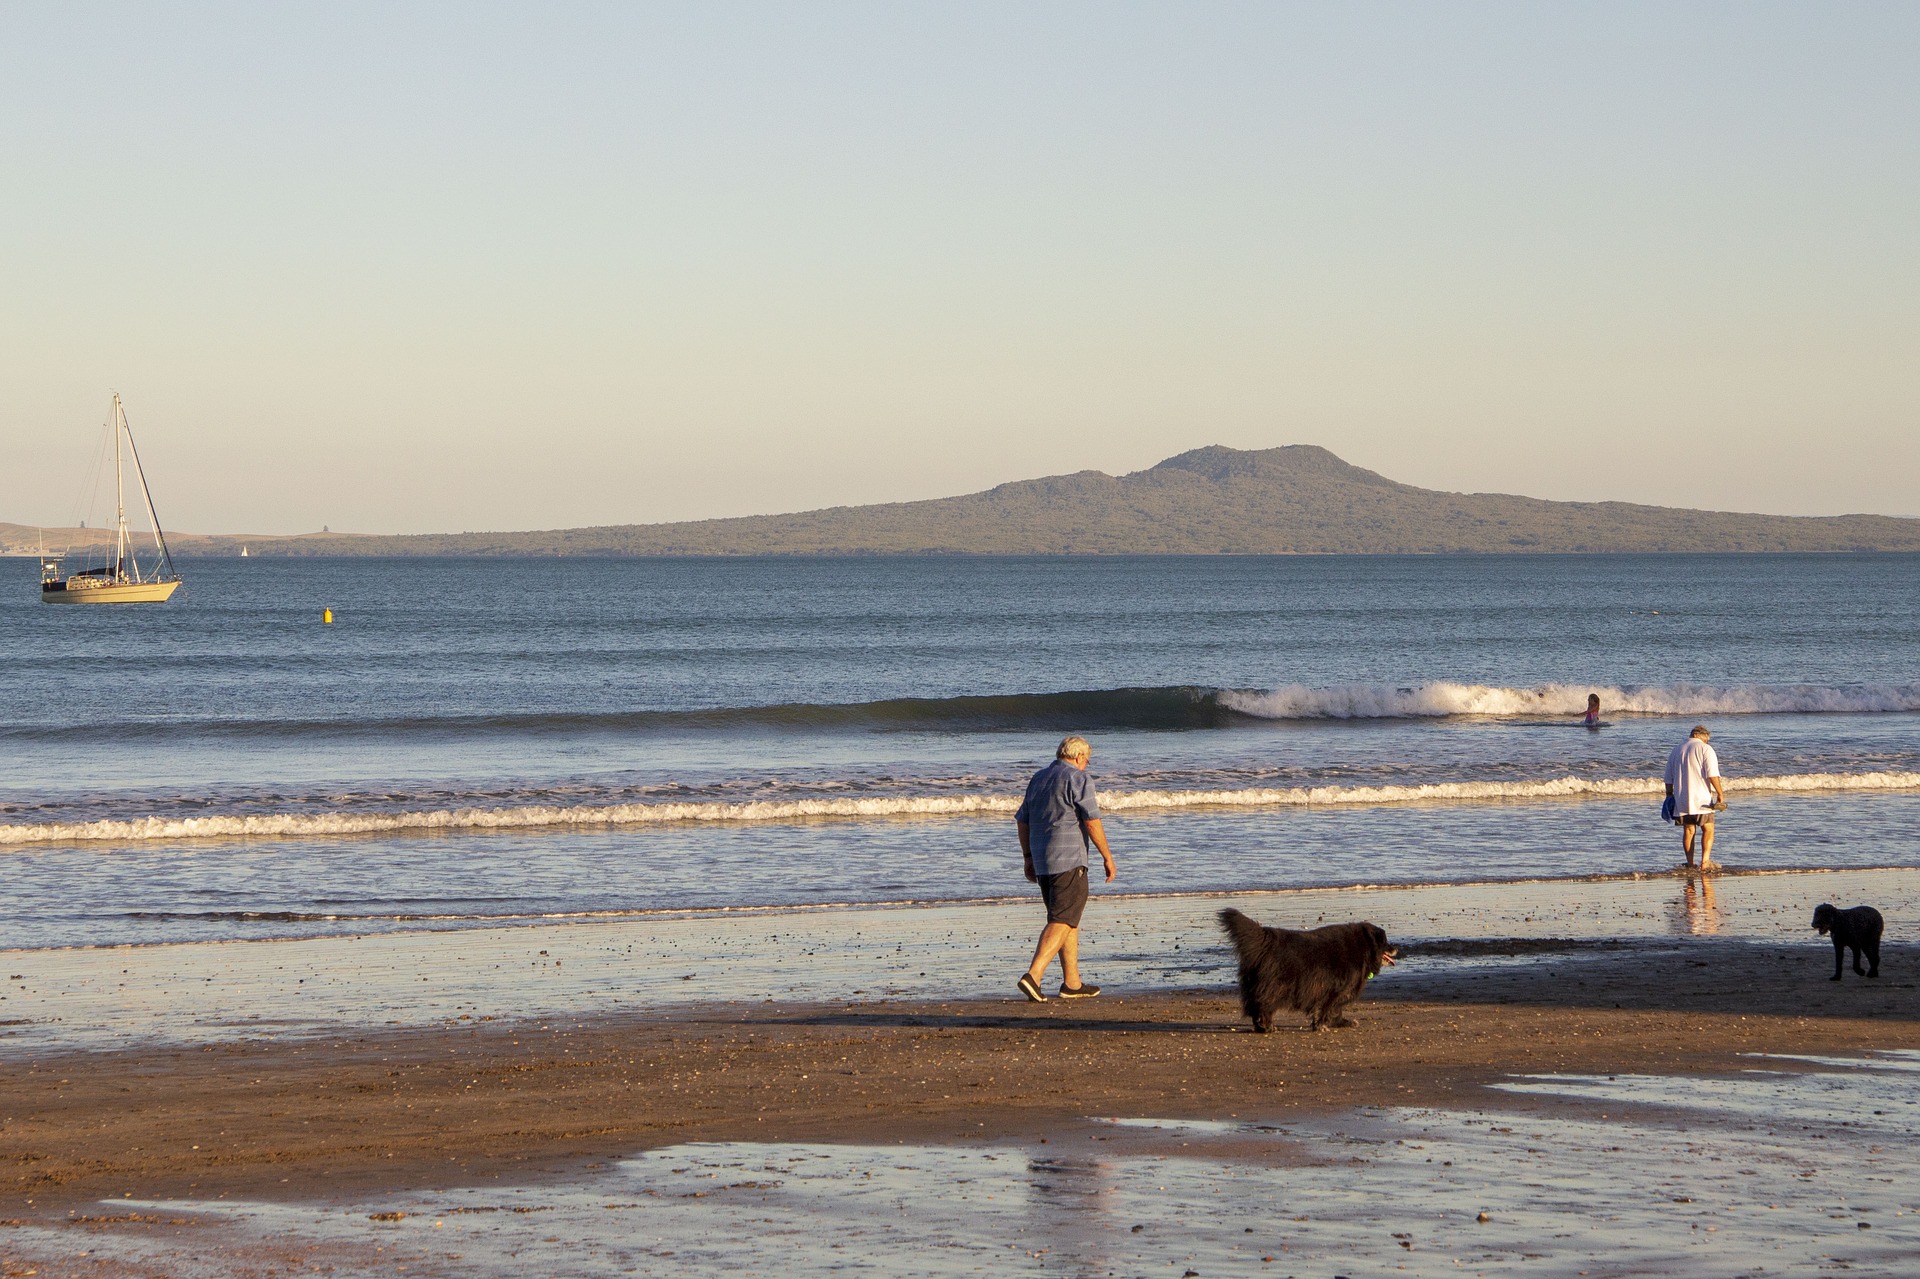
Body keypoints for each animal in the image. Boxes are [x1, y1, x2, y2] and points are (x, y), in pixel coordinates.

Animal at [1228, 902, 1397, 1029]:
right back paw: (1267, 1026)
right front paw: (1321, 1025)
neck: (1363, 947)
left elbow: (1336, 1009)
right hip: (1275, 987)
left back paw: (1260, 1027)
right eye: (1385, 942)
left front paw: (1341, 1022)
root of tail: (1266, 941)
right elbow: (1328, 1007)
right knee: (1263, 1005)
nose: (1396, 949)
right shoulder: (1335, 988)